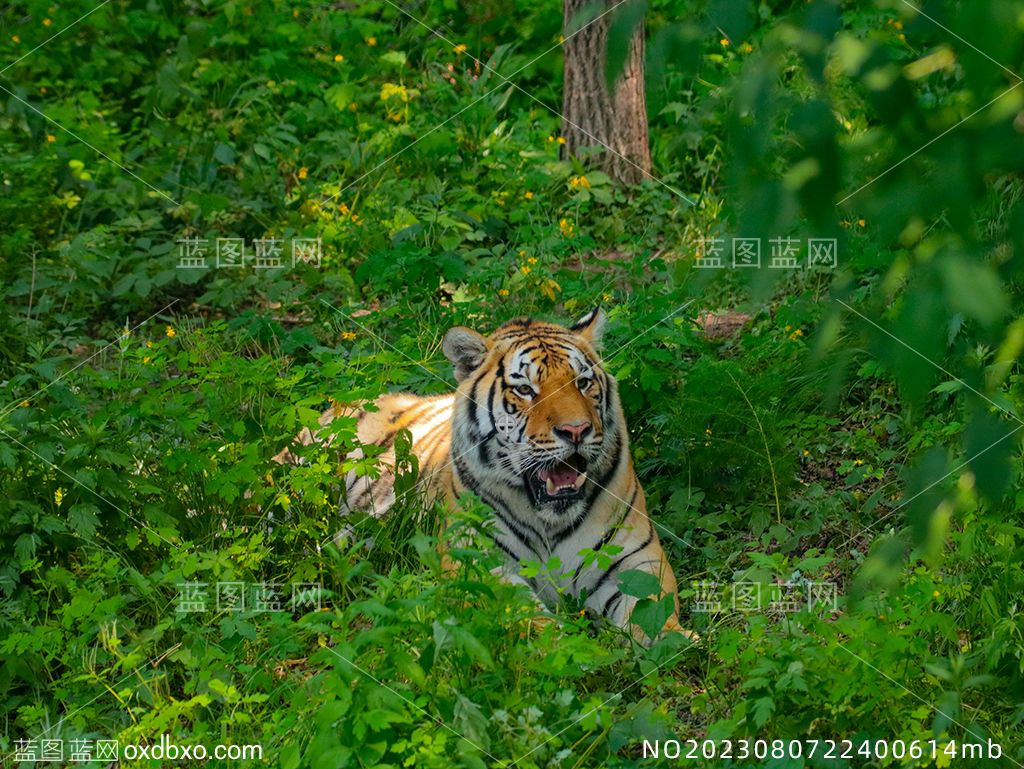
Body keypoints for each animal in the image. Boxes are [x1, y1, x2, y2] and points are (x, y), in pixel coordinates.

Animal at [276, 309, 692, 643]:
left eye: (583, 383)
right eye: (525, 389)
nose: (576, 431)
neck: (550, 520)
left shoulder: (635, 561)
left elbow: (652, 610)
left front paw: (677, 641)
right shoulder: (478, 564)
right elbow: (527, 618)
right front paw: (572, 647)